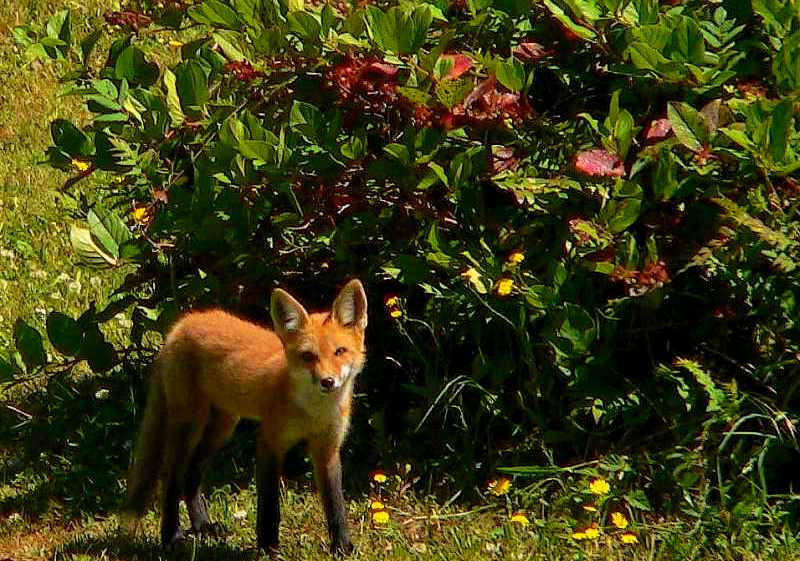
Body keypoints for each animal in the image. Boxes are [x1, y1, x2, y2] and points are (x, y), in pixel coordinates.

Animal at [122, 279, 368, 555]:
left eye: (340, 351)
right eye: (308, 356)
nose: (328, 381)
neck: (313, 412)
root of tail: (183, 322)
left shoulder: (327, 448)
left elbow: (336, 505)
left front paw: (343, 546)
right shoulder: (270, 443)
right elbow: (269, 506)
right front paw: (268, 548)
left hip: (222, 428)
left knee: (191, 475)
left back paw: (202, 526)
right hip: (190, 425)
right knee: (171, 479)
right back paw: (171, 537)